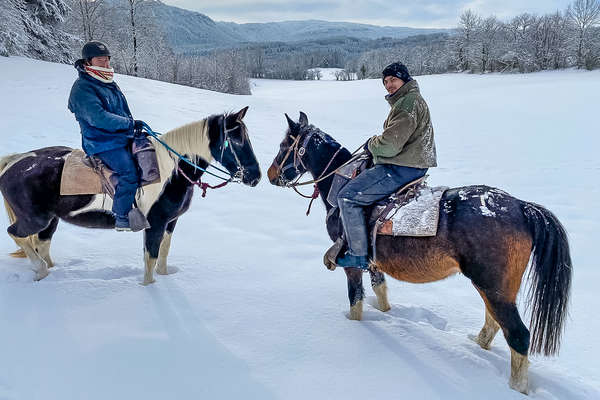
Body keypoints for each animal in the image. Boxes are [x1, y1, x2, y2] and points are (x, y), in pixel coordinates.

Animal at [1, 106, 260, 284]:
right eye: (237, 139)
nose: (255, 176)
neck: (171, 170)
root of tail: (14, 162)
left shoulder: (171, 222)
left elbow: (163, 255)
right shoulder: (155, 223)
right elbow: (150, 259)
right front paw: (149, 288)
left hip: (51, 219)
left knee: (42, 243)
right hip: (36, 219)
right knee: (17, 234)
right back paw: (40, 269)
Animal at [268, 111, 572, 394]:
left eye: (284, 145)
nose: (271, 174)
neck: (339, 185)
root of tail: (521, 206)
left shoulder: (352, 264)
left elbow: (356, 301)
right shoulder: (375, 262)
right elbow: (381, 292)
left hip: (493, 286)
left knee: (518, 335)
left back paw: (515, 387)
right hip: (495, 288)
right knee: (494, 322)